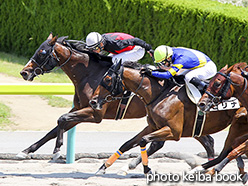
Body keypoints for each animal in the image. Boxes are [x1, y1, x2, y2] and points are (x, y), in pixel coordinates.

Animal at [18, 32, 213, 169]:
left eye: (42, 52)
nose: (24, 72)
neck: (90, 74)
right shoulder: (79, 109)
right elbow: (56, 126)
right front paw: (26, 151)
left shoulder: (94, 113)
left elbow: (62, 119)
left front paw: (57, 151)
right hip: (184, 122)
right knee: (205, 140)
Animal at [89, 60, 248, 175]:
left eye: (107, 79)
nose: (93, 101)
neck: (160, 94)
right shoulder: (153, 126)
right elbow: (128, 143)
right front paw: (104, 167)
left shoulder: (174, 131)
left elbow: (143, 140)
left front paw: (147, 169)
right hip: (237, 126)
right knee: (226, 148)